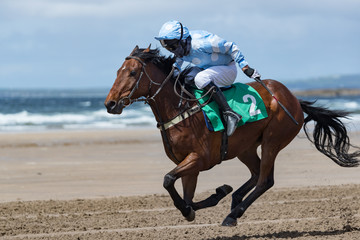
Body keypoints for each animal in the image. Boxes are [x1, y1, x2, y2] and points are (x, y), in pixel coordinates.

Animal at [104, 45, 360, 227]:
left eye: (133, 72)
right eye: (117, 72)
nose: (110, 103)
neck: (181, 108)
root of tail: (293, 98)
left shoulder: (199, 158)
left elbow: (168, 180)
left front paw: (210, 199)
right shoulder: (189, 163)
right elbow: (186, 199)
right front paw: (217, 194)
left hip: (273, 141)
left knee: (265, 180)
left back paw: (234, 213)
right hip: (245, 147)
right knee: (256, 174)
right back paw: (235, 199)